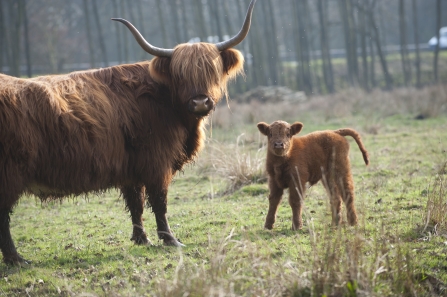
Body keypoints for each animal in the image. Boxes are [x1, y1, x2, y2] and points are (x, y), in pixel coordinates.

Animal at [0, 0, 258, 264]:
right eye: (180, 73)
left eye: (211, 70)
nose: (199, 102)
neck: (164, 99)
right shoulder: (157, 163)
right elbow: (159, 202)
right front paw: (170, 240)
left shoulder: (131, 168)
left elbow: (136, 203)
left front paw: (142, 239)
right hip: (10, 174)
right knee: (3, 217)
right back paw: (16, 259)